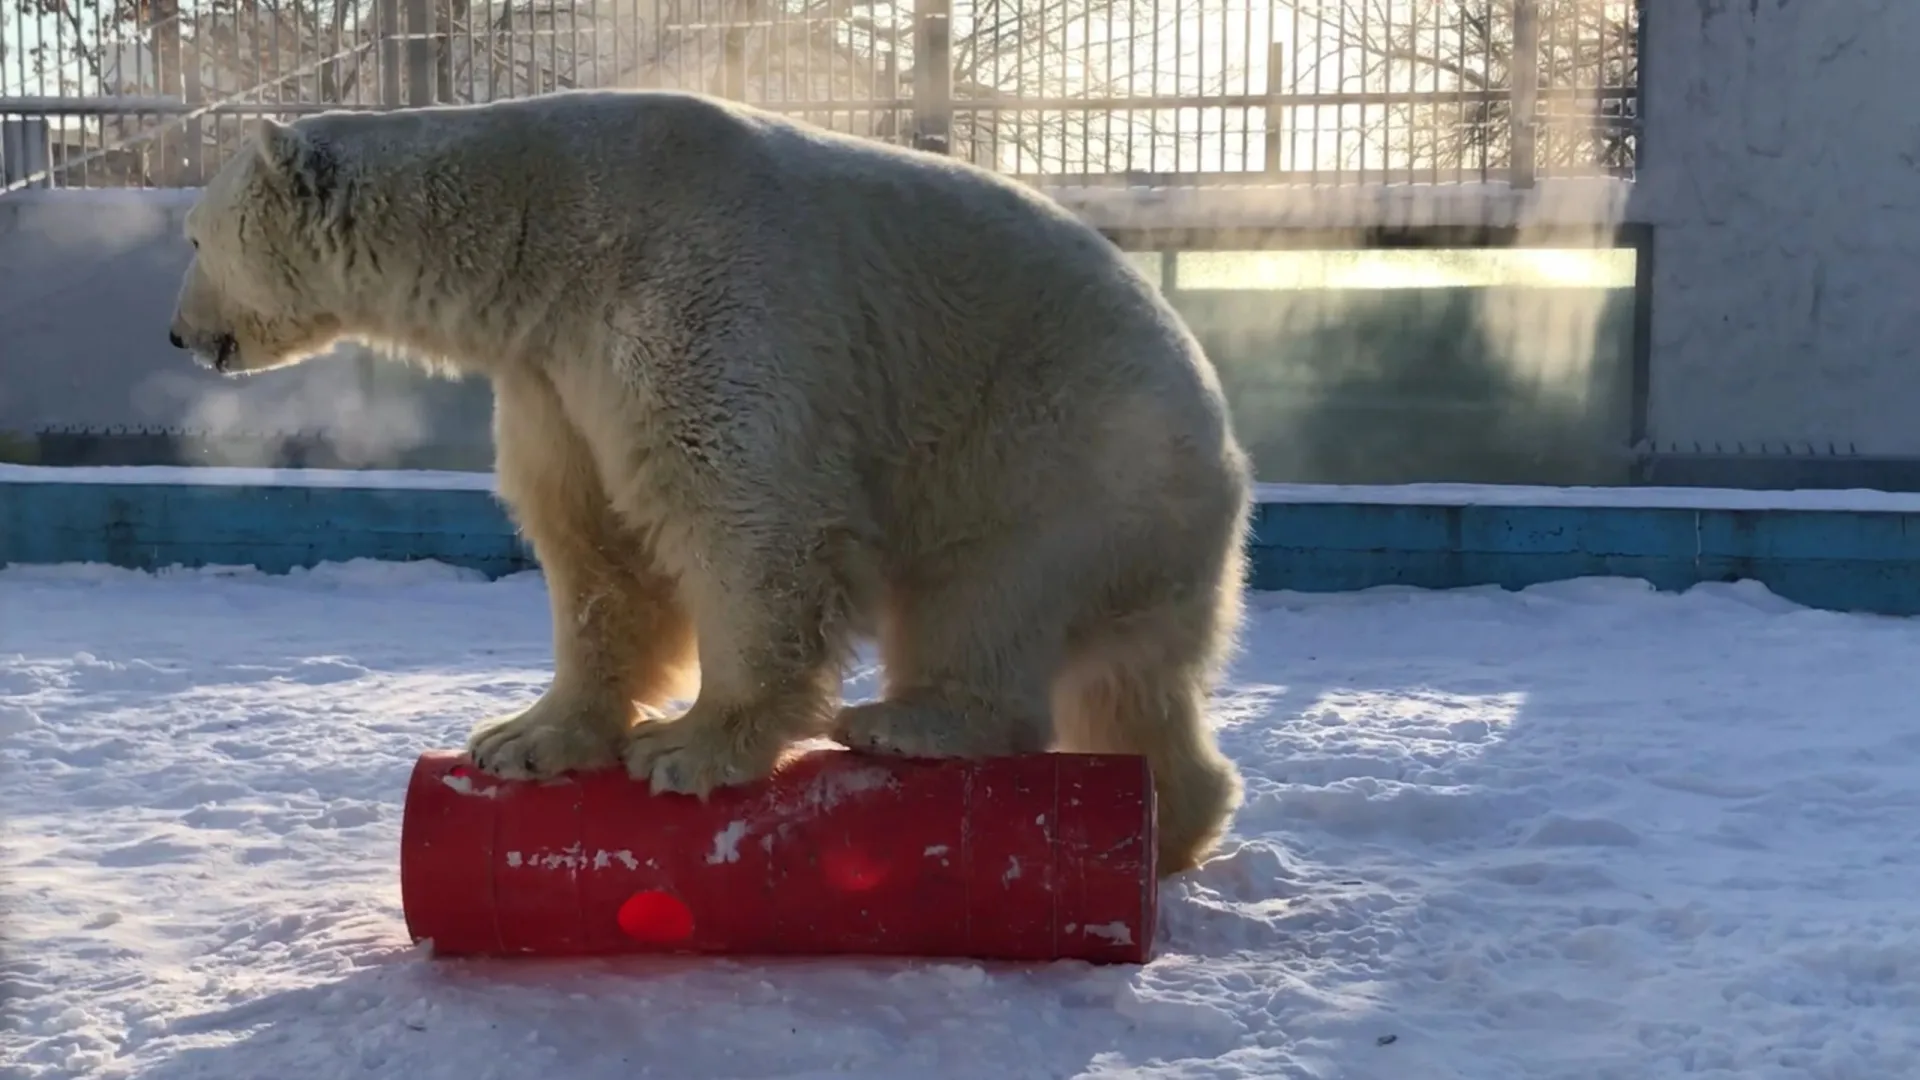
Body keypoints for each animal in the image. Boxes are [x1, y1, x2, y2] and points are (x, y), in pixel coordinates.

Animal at [168, 88, 1259, 868]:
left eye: (193, 237)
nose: (179, 334)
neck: (542, 234)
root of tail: (1228, 457)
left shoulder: (692, 297)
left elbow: (743, 511)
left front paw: (689, 748)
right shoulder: (552, 372)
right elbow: (593, 543)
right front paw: (523, 737)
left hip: (1054, 453)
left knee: (986, 597)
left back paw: (909, 722)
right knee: (1135, 687)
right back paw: (1177, 825)